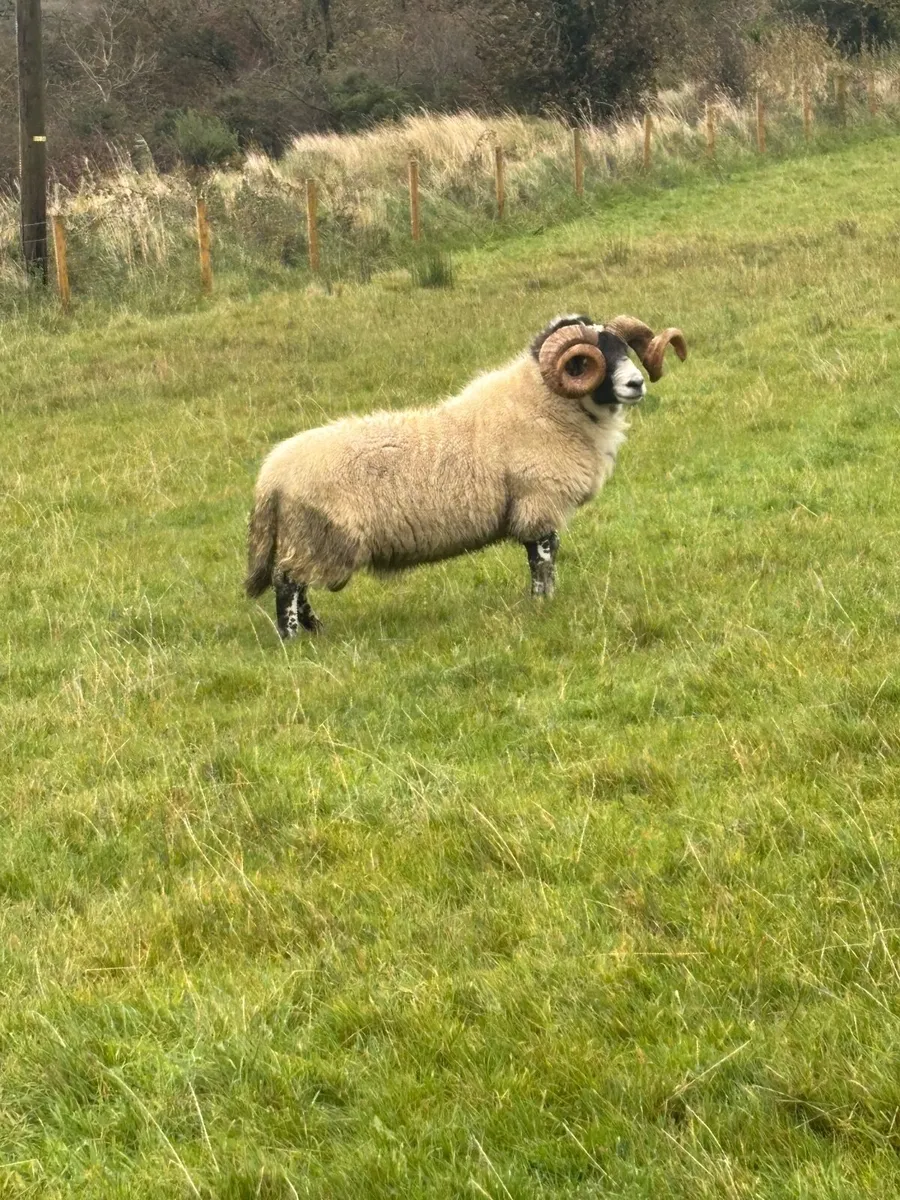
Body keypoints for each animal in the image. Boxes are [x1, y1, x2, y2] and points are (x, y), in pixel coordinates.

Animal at [246, 313, 687, 636]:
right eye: (586, 360)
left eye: (624, 349)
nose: (636, 384)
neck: (545, 404)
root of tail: (271, 475)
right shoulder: (537, 504)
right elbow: (543, 560)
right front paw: (542, 604)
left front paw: (544, 601)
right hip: (317, 538)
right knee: (288, 584)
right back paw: (293, 638)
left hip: (308, 539)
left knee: (298, 585)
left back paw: (316, 629)